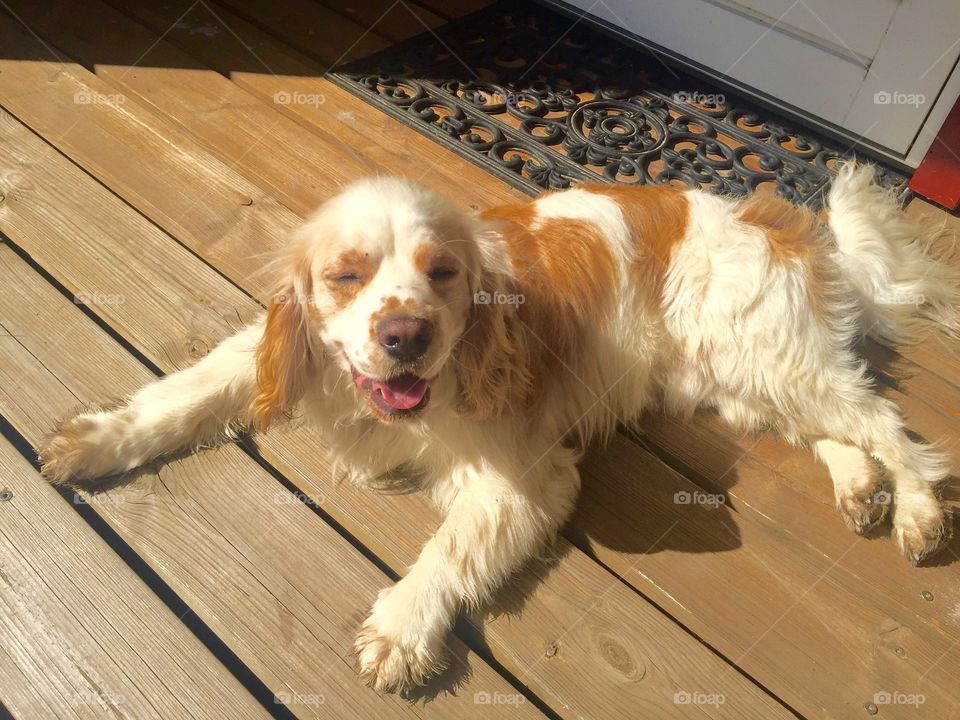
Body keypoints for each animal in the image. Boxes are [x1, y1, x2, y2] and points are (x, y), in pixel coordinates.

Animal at [41, 165, 960, 692]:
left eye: (443, 273)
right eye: (347, 276)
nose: (403, 336)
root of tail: (770, 217)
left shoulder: (530, 478)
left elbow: (451, 550)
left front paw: (402, 629)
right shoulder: (264, 355)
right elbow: (184, 391)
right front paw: (95, 440)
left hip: (765, 357)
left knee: (891, 425)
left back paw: (916, 513)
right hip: (732, 376)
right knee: (838, 427)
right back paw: (863, 491)